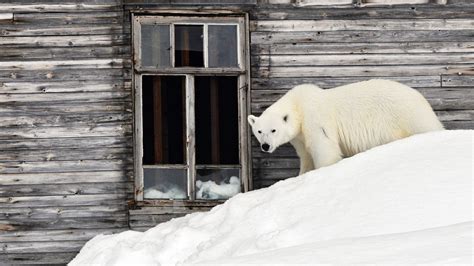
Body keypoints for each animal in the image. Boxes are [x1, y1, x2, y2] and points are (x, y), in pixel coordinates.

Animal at [248, 79, 444, 175]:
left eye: (273, 130)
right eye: (259, 131)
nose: (265, 146)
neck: (298, 106)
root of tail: (421, 98)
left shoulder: (315, 119)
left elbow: (324, 149)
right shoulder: (299, 137)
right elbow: (306, 156)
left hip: (408, 115)